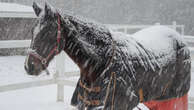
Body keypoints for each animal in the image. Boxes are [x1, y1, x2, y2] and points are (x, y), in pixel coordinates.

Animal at [24, 1, 191, 110]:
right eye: (32, 31)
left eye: (48, 32)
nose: (29, 66)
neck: (101, 63)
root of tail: (178, 37)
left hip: (174, 98)